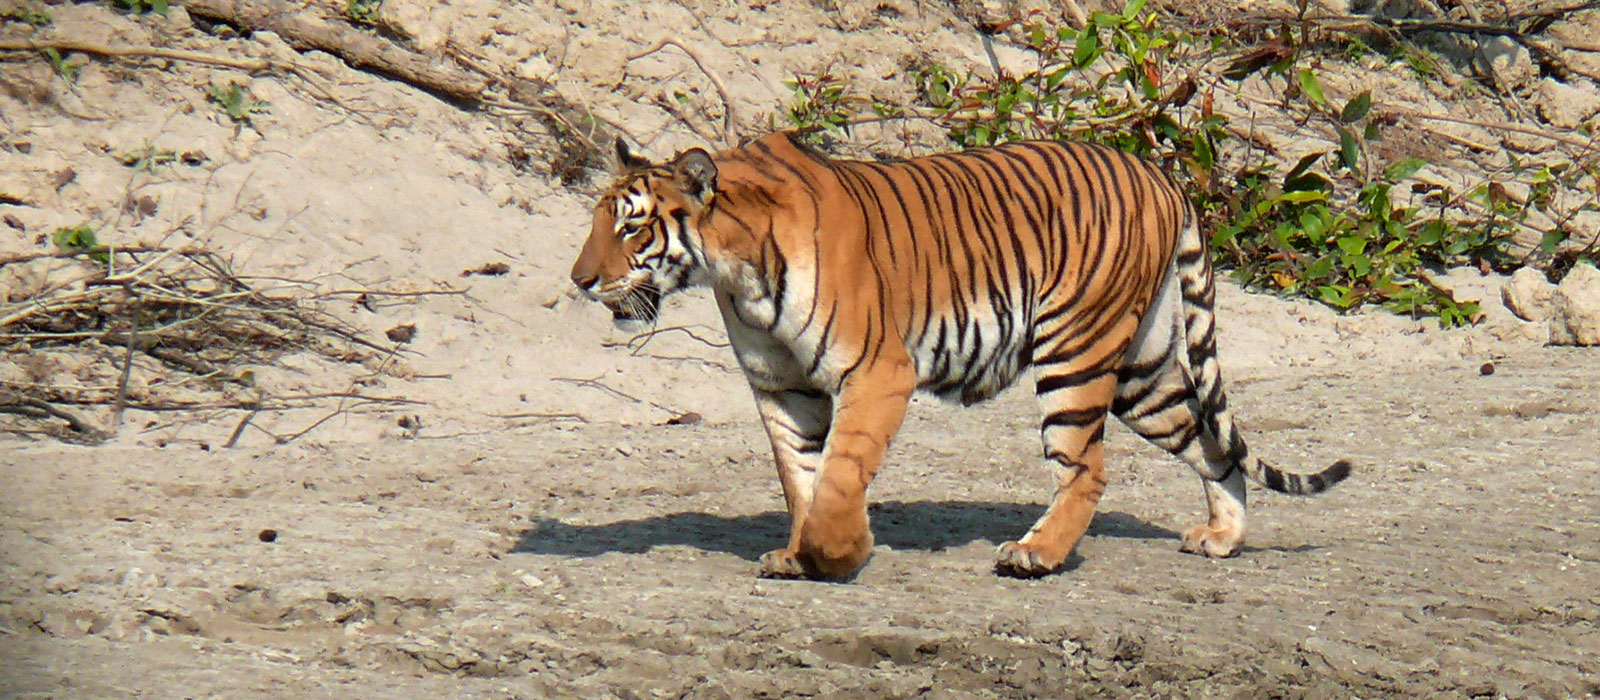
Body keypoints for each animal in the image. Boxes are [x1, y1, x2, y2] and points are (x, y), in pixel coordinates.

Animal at [572, 131, 1350, 578]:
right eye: (595, 222)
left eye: (632, 227)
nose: (579, 280)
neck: (735, 273)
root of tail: (1159, 173)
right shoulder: (781, 386)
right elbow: (800, 479)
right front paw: (797, 556)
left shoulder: (876, 372)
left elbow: (837, 478)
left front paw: (839, 554)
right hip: (1141, 368)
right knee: (1210, 443)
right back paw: (1222, 538)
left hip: (1076, 350)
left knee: (1088, 467)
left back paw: (1036, 554)